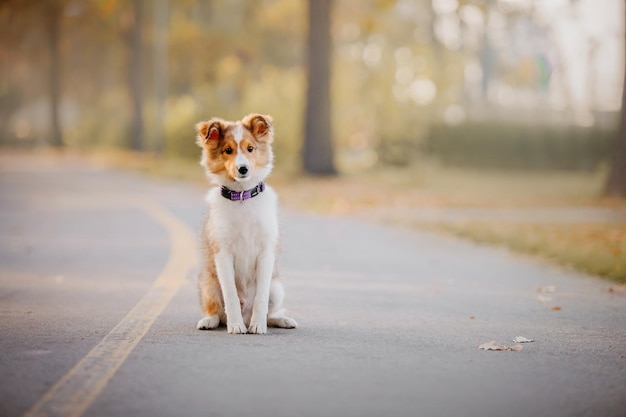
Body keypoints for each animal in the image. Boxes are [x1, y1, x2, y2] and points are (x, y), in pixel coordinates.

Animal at [194, 112, 296, 334]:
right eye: (228, 150)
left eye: (250, 149)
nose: (243, 169)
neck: (242, 197)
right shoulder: (223, 253)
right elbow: (231, 296)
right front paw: (236, 326)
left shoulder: (266, 252)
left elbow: (261, 298)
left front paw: (257, 326)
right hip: (208, 285)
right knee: (217, 312)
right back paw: (210, 321)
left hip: (277, 288)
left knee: (270, 313)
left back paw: (279, 320)